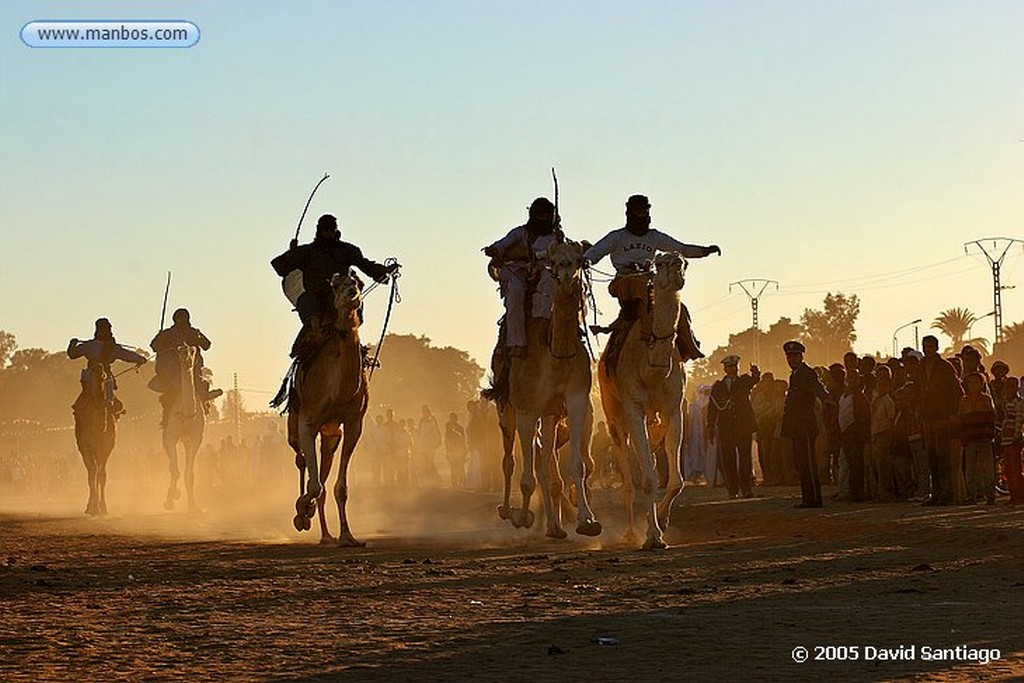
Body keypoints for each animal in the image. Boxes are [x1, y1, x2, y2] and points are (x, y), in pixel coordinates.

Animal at [73, 370, 117, 516]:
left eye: (104, 375)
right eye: (94, 371)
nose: (99, 371)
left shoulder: (107, 446)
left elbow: (102, 474)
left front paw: (103, 508)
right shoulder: (86, 446)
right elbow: (92, 473)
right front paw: (93, 508)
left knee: (98, 471)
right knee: (92, 471)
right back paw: (90, 505)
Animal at [160, 348, 204, 511]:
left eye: (193, 350)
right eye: (180, 351)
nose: (187, 360)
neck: (186, 415)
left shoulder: (196, 438)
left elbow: (189, 474)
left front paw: (194, 507)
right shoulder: (171, 437)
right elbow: (175, 470)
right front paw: (170, 500)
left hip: (187, 441)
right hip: (166, 437)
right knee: (171, 466)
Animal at [288, 270, 368, 548]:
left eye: (359, 282)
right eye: (336, 285)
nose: (352, 291)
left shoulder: (354, 423)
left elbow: (339, 488)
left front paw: (348, 536)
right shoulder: (308, 421)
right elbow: (313, 486)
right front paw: (301, 510)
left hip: (331, 434)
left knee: (323, 473)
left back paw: (327, 534)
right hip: (296, 425)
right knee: (302, 462)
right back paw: (312, 521)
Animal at [487, 240, 598, 540]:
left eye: (579, 259)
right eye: (555, 261)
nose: (567, 276)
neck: (554, 356)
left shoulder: (575, 401)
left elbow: (576, 465)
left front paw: (587, 520)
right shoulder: (526, 409)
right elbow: (527, 477)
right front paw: (522, 516)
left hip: (549, 415)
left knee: (545, 465)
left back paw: (555, 527)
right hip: (506, 408)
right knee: (509, 460)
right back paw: (507, 511)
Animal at [598, 252, 688, 548]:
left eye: (684, 260)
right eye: (659, 263)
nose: (677, 260)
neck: (653, 370)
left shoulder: (674, 409)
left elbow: (676, 480)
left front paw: (664, 520)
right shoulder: (634, 408)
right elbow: (648, 478)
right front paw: (653, 536)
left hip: (654, 421)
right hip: (614, 416)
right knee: (627, 471)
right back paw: (629, 532)